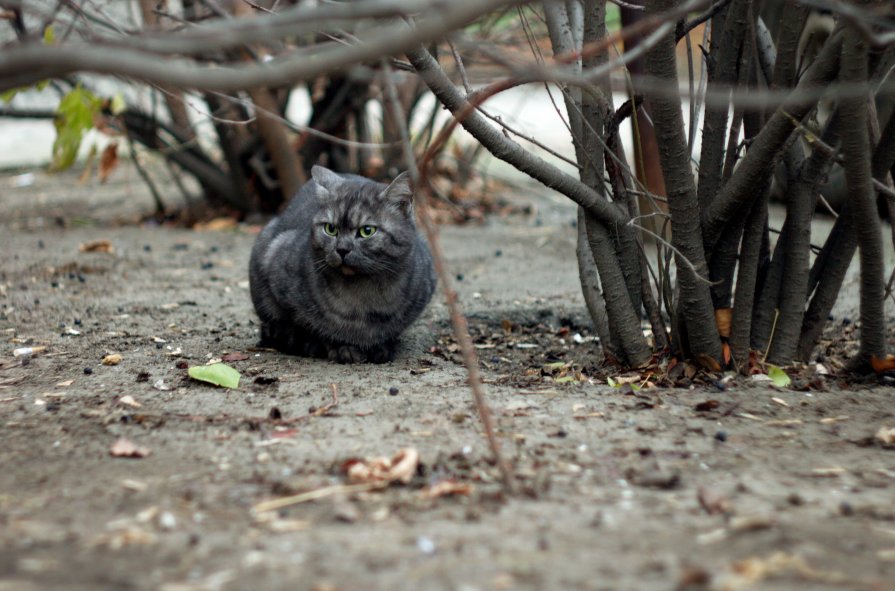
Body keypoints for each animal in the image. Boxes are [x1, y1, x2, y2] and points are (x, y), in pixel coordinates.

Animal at [248, 164, 438, 364]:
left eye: (367, 231)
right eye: (330, 229)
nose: (342, 249)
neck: (363, 295)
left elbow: (391, 330)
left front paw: (382, 347)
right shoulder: (276, 262)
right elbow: (314, 327)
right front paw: (341, 348)